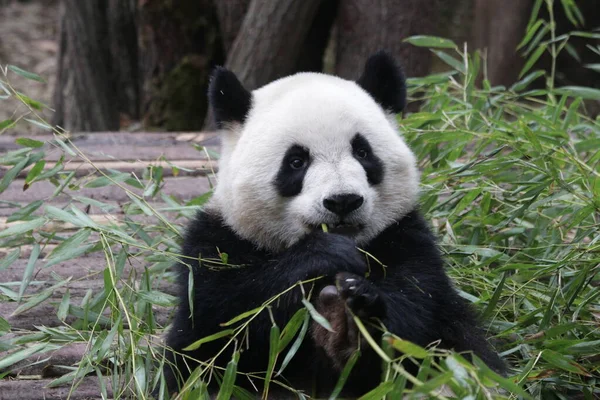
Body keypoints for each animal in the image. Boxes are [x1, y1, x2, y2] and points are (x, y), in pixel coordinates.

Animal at [162, 50, 504, 396]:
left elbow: (417, 316)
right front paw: (324, 256)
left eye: (363, 152)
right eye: (296, 161)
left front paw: (354, 321)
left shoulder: (406, 237)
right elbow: (221, 326)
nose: (343, 201)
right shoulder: (219, 243)